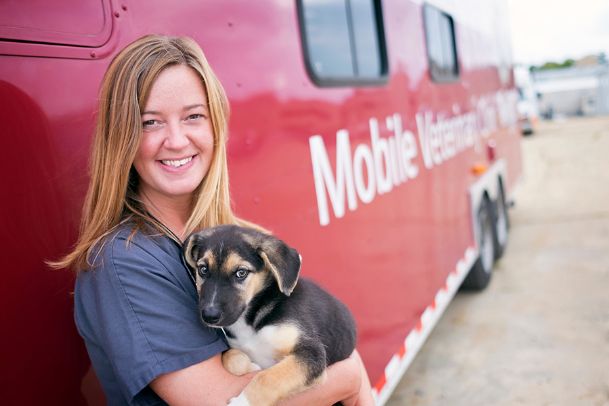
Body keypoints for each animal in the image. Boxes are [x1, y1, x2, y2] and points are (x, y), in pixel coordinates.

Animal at [183, 225, 358, 406]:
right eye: (203, 270)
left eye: (241, 273)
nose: (209, 315)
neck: (250, 320)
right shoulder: (234, 347)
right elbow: (232, 360)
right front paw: (252, 367)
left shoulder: (311, 353)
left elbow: (267, 377)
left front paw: (242, 402)